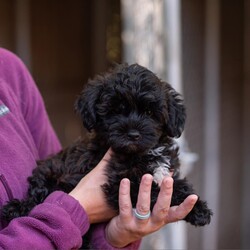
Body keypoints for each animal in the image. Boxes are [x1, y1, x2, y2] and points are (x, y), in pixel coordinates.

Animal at [1, 63, 213, 234]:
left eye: (149, 112)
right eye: (116, 110)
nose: (133, 134)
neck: (141, 153)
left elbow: (177, 184)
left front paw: (198, 207)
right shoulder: (119, 184)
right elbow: (154, 192)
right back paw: (15, 209)